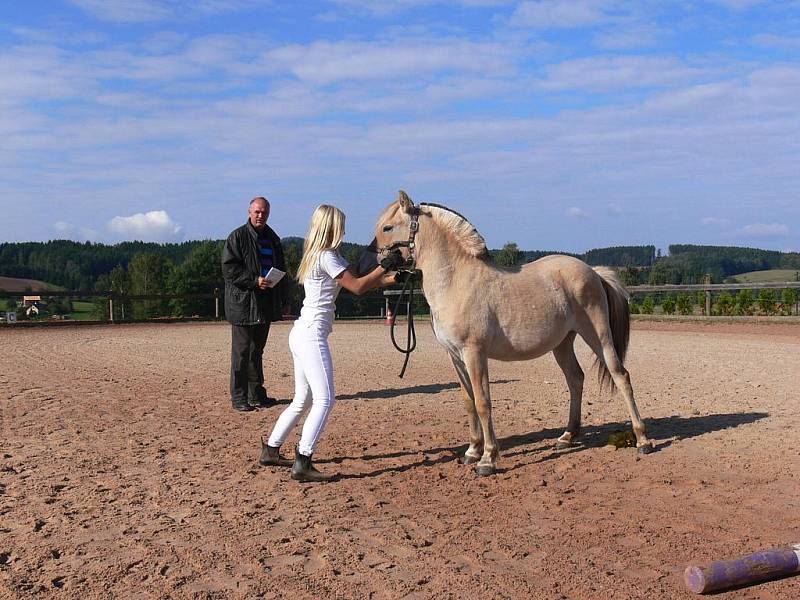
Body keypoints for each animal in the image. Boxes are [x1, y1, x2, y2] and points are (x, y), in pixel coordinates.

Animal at [372, 190, 652, 476]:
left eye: (387, 227)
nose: (380, 262)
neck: (456, 280)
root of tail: (594, 272)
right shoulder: (455, 356)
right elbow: (468, 402)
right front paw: (471, 452)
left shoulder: (474, 353)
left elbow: (483, 402)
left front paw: (487, 458)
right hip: (563, 343)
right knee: (576, 379)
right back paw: (567, 436)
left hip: (598, 336)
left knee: (621, 376)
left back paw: (642, 440)